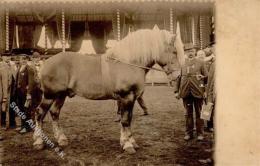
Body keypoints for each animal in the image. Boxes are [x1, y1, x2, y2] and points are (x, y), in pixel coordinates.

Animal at [34, 26, 185, 154]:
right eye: (174, 52)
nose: (178, 75)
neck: (129, 63)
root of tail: (45, 63)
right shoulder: (126, 97)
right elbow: (125, 120)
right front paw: (128, 145)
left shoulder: (131, 98)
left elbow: (128, 119)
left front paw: (129, 142)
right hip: (49, 95)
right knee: (39, 113)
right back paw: (38, 142)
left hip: (61, 95)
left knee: (54, 113)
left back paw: (61, 139)